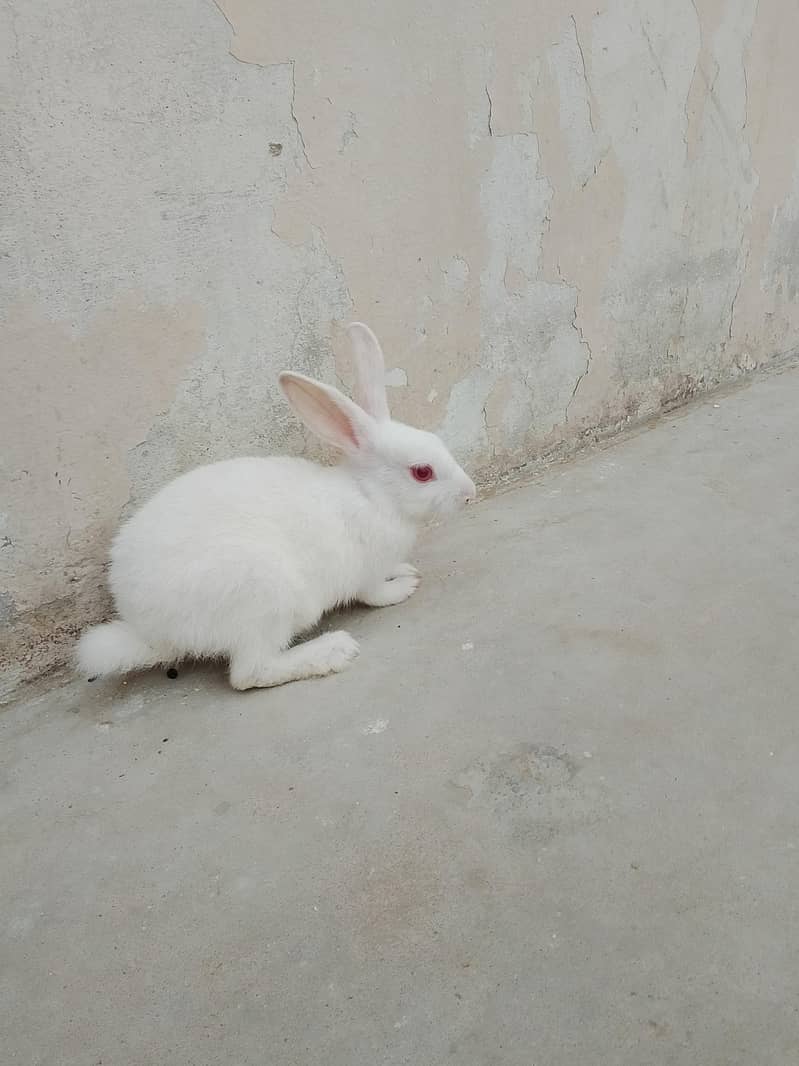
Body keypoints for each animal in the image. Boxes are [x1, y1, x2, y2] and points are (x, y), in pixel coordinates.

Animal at [76, 322, 477, 690]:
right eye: (422, 472)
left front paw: (405, 571)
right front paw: (403, 588)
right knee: (249, 673)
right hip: (263, 596)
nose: (469, 492)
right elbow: (375, 594)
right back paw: (333, 651)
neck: (372, 495)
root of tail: (150, 631)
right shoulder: (365, 572)